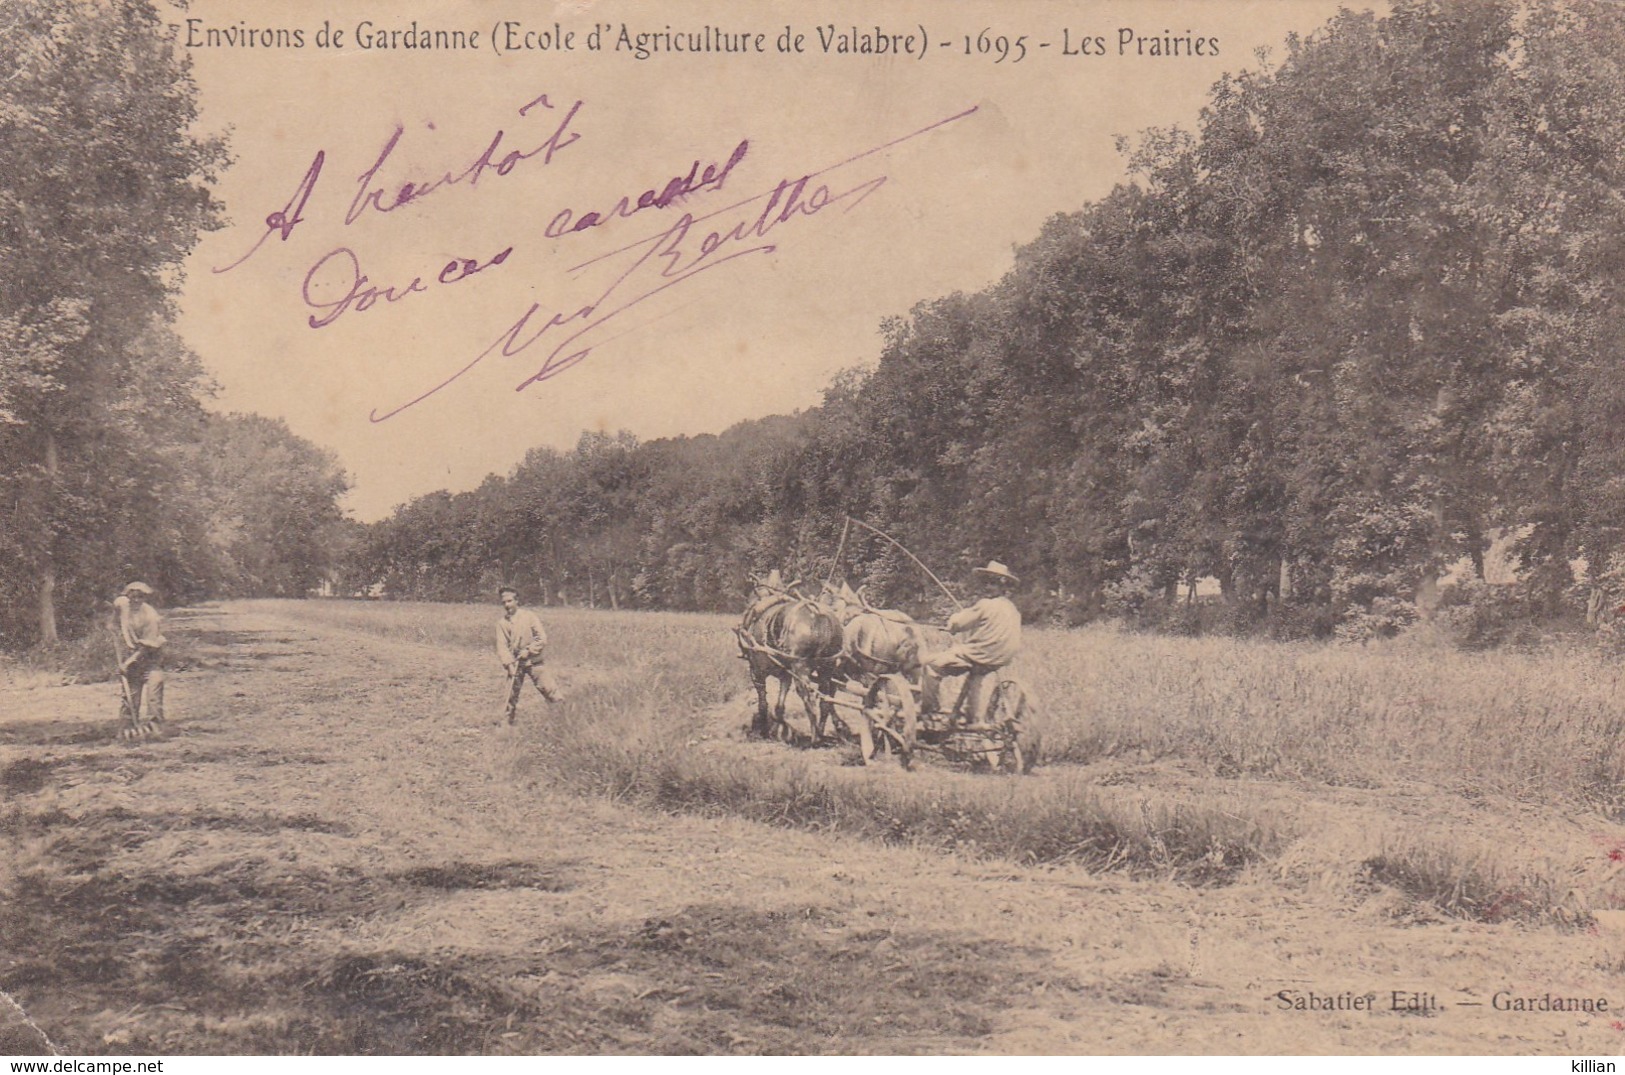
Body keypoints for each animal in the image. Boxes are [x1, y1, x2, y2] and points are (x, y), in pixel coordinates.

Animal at [741, 584, 845, 746]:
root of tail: (818, 613)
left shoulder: (757, 671)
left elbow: (763, 703)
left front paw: (764, 730)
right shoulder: (785, 674)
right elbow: (779, 706)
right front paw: (777, 731)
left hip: (800, 668)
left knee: (809, 698)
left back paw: (815, 738)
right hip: (827, 666)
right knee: (825, 700)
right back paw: (821, 732)